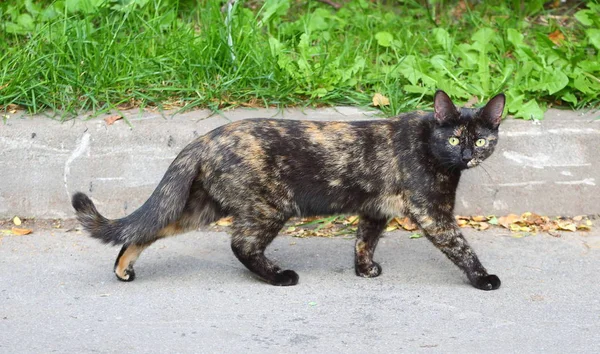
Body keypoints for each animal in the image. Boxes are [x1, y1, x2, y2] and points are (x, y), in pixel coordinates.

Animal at [74, 90, 506, 290]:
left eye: (482, 140)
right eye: (454, 139)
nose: (468, 154)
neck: (430, 145)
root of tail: (205, 138)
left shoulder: (375, 210)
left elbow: (363, 241)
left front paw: (364, 270)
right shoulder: (433, 213)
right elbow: (460, 247)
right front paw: (483, 278)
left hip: (202, 206)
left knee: (146, 230)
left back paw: (123, 269)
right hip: (270, 206)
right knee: (241, 245)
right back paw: (279, 276)